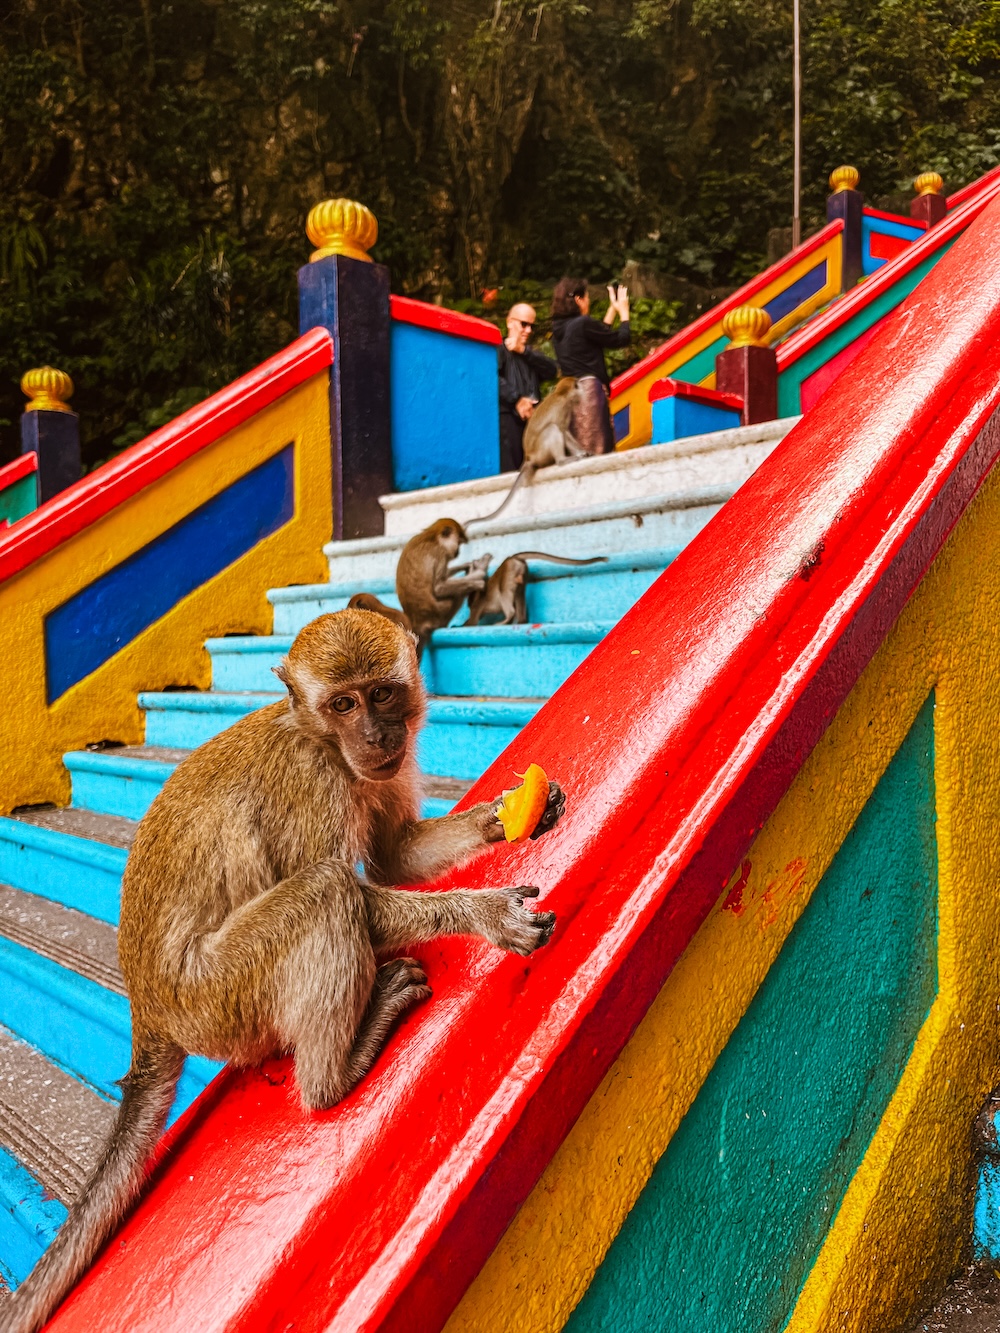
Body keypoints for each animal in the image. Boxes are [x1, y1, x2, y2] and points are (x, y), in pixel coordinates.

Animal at [7, 610, 568, 1333]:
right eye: (343, 705)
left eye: (381, 694)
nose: (375, 736)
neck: (322, 741)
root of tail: (149, 1008)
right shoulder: (316, 784)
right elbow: (358, 887)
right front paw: (485, 911)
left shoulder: (372, 772)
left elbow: (396, 857)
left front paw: (509, 813)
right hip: (217, 998)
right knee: (326, 889)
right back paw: (335, 1074)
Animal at [397, 519, 496, 661]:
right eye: (458, 543)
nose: (457, 552)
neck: (431, 537)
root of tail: (418, 622)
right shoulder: (440, 553)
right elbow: (439, 588)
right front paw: (478, 577)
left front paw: (466, 566)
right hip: (440, 612)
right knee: (457, 595)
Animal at [466, 549, 608, 626]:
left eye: (470, 600)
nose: (468, 604)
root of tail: (513, 558)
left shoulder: (476, 607)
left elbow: (472, 621)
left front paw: (463, 625)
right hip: (520, 578)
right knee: (519, 597)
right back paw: (521, 621)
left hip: (507, 577)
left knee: (505, 597)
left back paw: (505, 620)